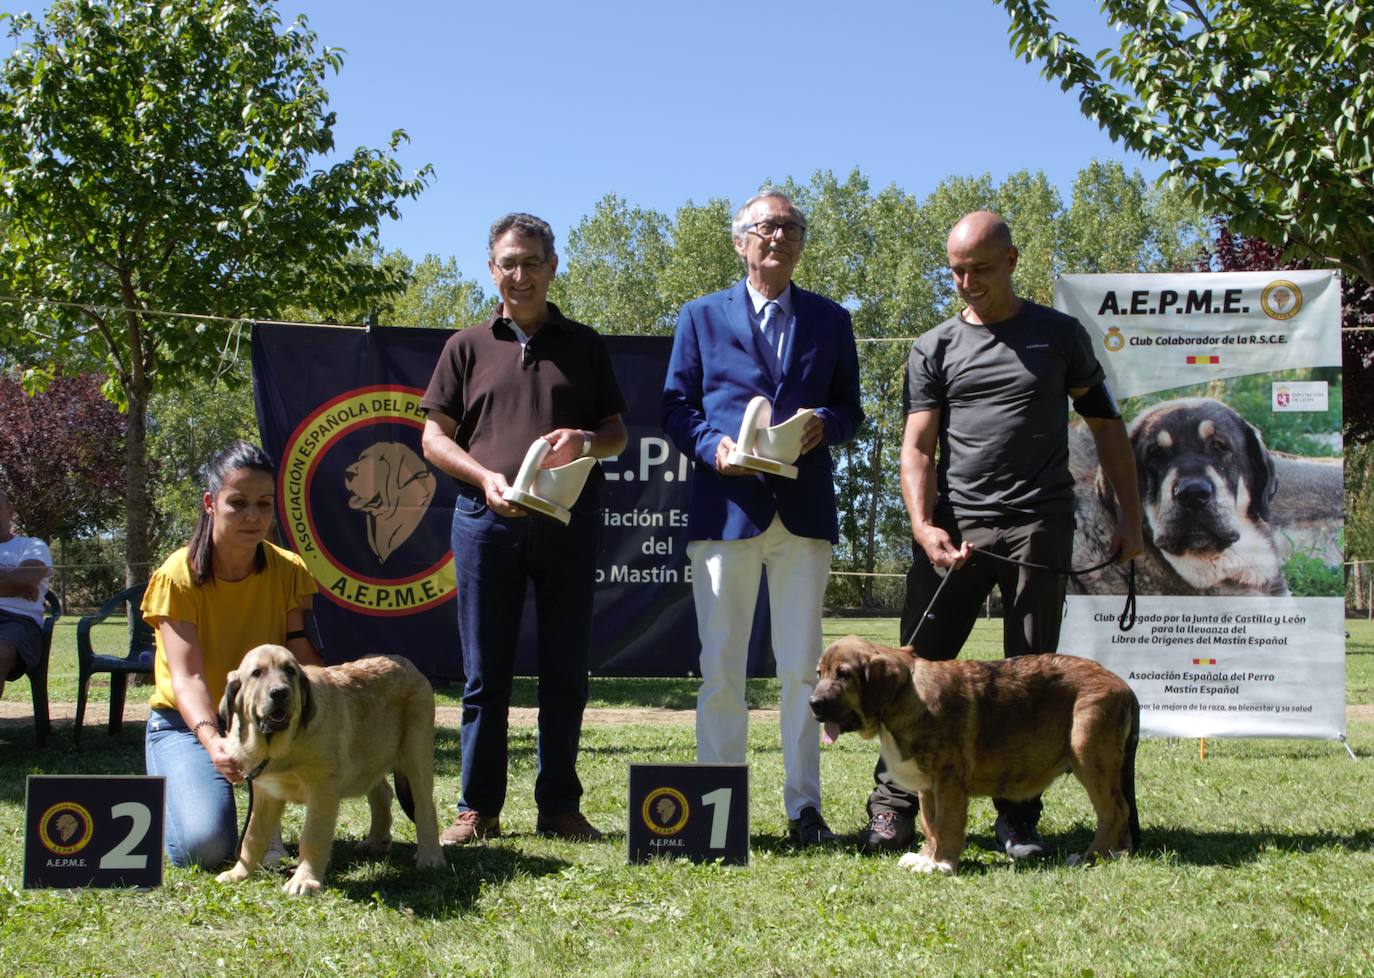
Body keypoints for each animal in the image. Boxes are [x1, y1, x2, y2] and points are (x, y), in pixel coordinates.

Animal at [212, 645, 445, 895]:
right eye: (256, 673)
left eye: (290, 671)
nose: (280, 693)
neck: (279, 747)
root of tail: (408, 664)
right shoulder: (265, 792)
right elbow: (252, 836)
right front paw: (239, 873)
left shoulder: (323, 789)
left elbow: (312, 837)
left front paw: (304, 881)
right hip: (369, 755)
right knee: (383, 793)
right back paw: (376, 841)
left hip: (416, 754)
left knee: (425, 808)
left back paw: (430, 857)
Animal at [807, 637, 1143, 873]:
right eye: (820, 673)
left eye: (844, 675)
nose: (813, 704)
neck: (905, 696)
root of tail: (1124, 686)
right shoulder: (928, 786)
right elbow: (931, 825)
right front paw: (926, 858)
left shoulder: (949, 782)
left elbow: (947, 824)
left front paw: (943, 864)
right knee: (1120, 812)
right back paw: (1118, 853)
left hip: (1090, 756)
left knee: (1114, 812)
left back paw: (1092, 856)